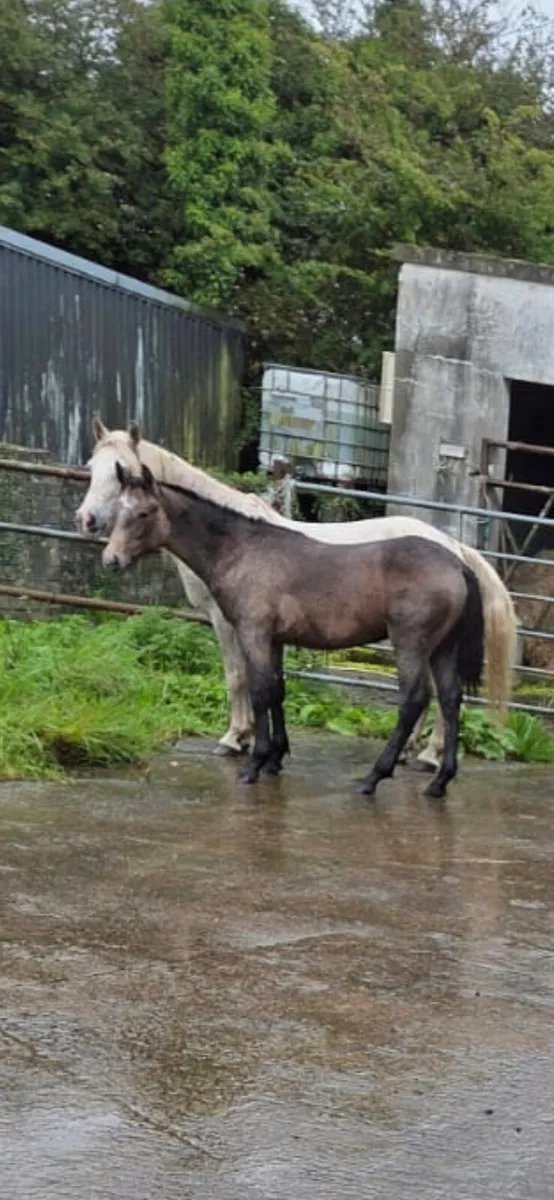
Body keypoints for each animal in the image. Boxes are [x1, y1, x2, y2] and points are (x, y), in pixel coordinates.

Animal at [76, 417, 516, 767]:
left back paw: (428, 755)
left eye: (122, 471)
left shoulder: (226, 621)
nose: (86, 520)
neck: (234, 540)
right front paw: (257, 743)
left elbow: (237, 676)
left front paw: (235, 738)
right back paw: (414, 752)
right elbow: (270, 683)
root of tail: (453, 548)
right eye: (90, 467)